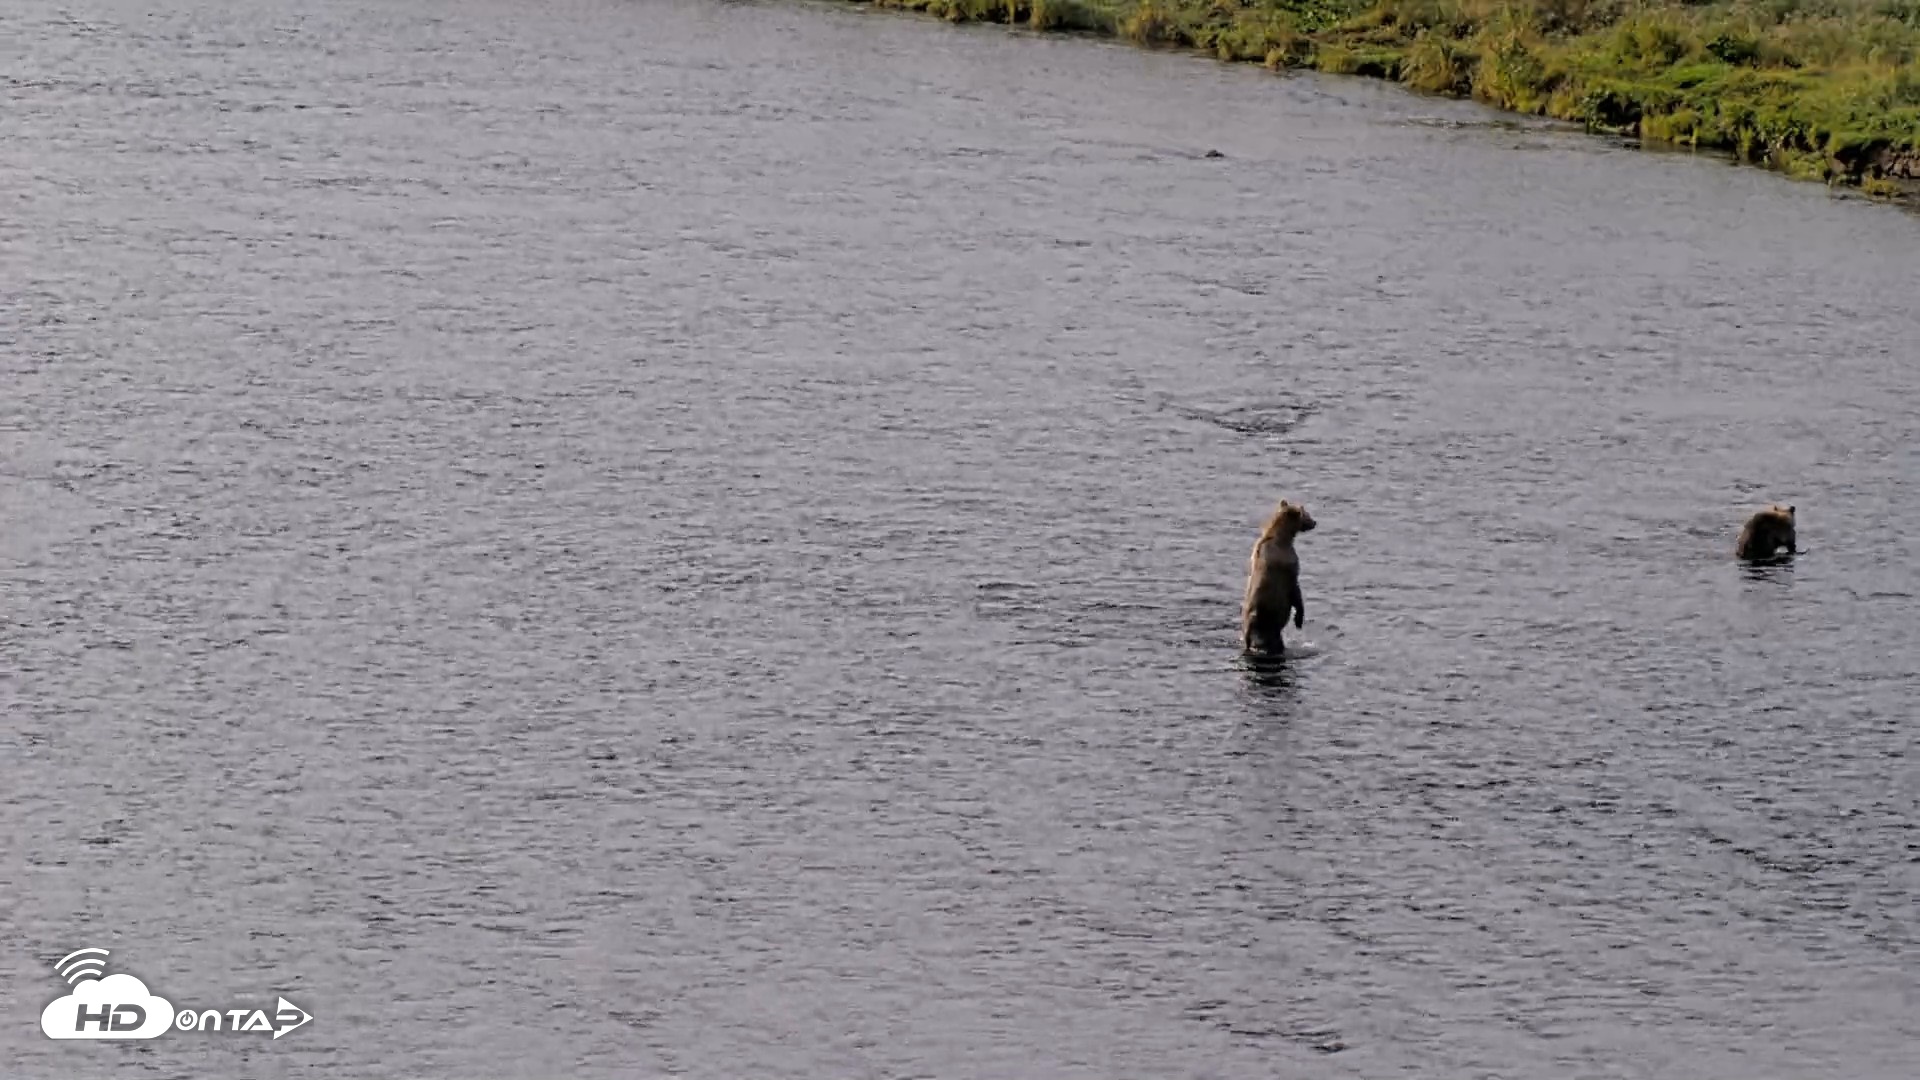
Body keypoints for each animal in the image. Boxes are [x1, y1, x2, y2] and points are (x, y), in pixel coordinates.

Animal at [1241, 499, 1316, 656]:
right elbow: (1295, 589)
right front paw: (1298, 620)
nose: (1314, 522)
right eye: (1306, 514)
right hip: (1263, 622)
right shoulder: (1287, 565)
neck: (1283, 537)